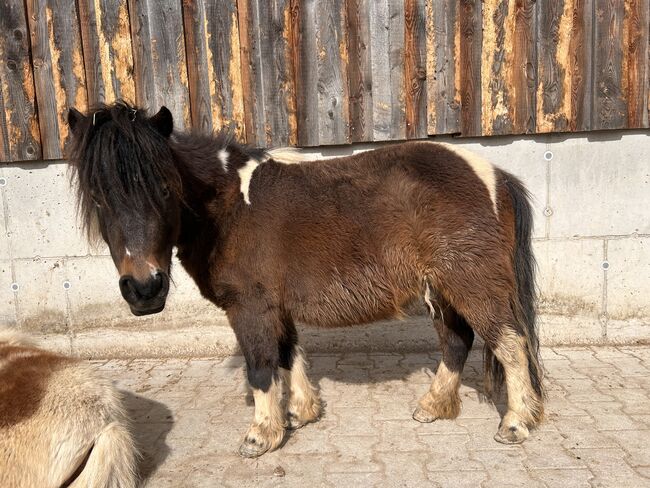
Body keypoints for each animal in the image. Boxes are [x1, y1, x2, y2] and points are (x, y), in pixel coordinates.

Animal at [67, 102, 540, 458]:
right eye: (98, 197)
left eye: (165, 189)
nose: (144, 289)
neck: (229, 205)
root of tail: (493, 174)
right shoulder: (276, 305)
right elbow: (288, 353)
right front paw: (300, 412)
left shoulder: (251, 308)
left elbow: (260, 367)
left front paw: (261, 435)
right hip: (439, 289)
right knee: (457, 342)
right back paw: (434, 405)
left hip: (471, 284)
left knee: (510, 344)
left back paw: (515, 423)